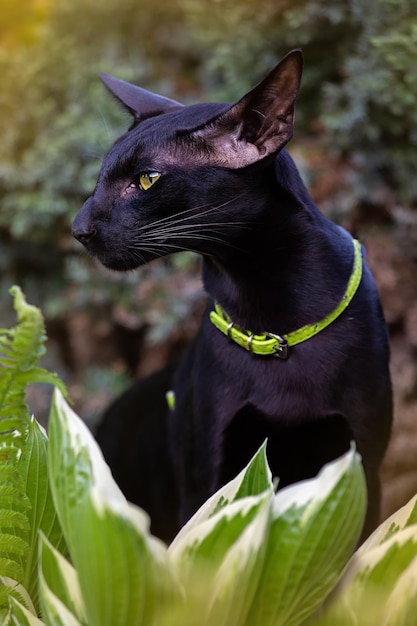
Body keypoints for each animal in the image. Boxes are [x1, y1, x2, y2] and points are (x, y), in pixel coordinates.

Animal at [73, 51, 392, 540]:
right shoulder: (210, 478)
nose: (78, 228)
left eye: (147, 180)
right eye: (101, 178)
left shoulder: (362, 471)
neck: (274, 320)